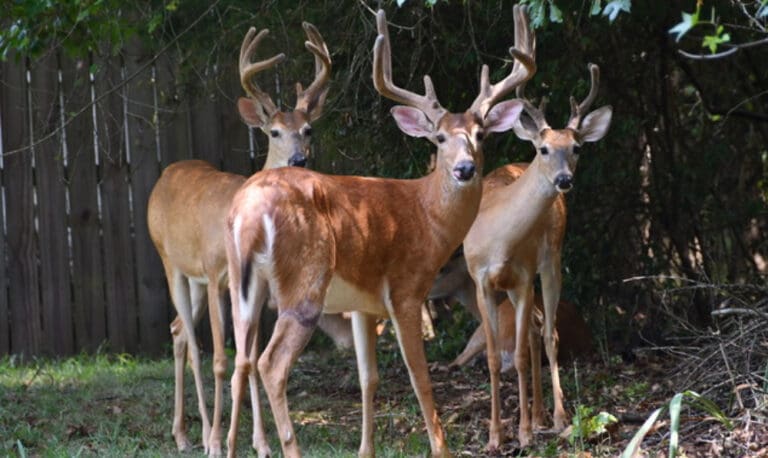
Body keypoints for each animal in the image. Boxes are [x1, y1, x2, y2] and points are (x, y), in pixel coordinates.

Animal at [147, 22, 336, 457]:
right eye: (274, 131)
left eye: (308, 129)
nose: (299, 159)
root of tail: (166, 174)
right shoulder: (221, 275)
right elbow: (223, 359)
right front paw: (220, 442)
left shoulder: (259, 288)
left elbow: (249, 360)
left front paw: (261, 443)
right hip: (172, 263)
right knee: (194, 346)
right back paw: (199, 434)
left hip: (198, 283)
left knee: (178, 332)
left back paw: (182, 432)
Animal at [223, 6, 535, 457]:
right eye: (439, 137)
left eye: (480, 134)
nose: (464, 168)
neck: (427, 214)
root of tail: (248, 209)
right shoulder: (406, 290)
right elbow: (420, 379)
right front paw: (441, 447)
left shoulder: (363, 304)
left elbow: (368, 378)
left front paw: (365, 449)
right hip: (305, 280)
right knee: (270, 363)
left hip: (242, 284)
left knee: (240, 361)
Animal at [461, 63, 612, 449]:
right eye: (543, 149)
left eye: (577, 147)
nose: (564, 180)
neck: (498, 239)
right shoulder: (481, 281)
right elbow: (494, 358)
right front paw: (495, 436)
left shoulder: (525, 276)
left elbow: (521, 354)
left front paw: (525, 432)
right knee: (532, 334)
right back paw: (540, 414)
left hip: (551, 259)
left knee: (546, 336)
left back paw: (554, 417)